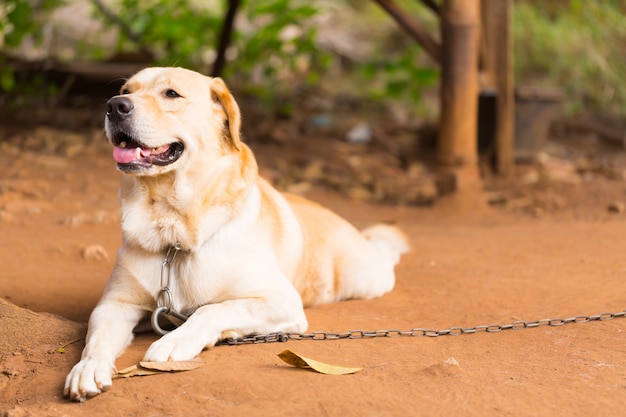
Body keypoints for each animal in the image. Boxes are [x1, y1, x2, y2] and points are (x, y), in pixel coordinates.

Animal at [62, 67, 404, 400]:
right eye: (125, 91)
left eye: (171, 93)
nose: (113, 106)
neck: (173, 232)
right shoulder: (114, 305)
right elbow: (96, 340)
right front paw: (87, 369)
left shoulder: (281, 300)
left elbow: (213, 309)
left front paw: (174, 342)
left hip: (367, 279)